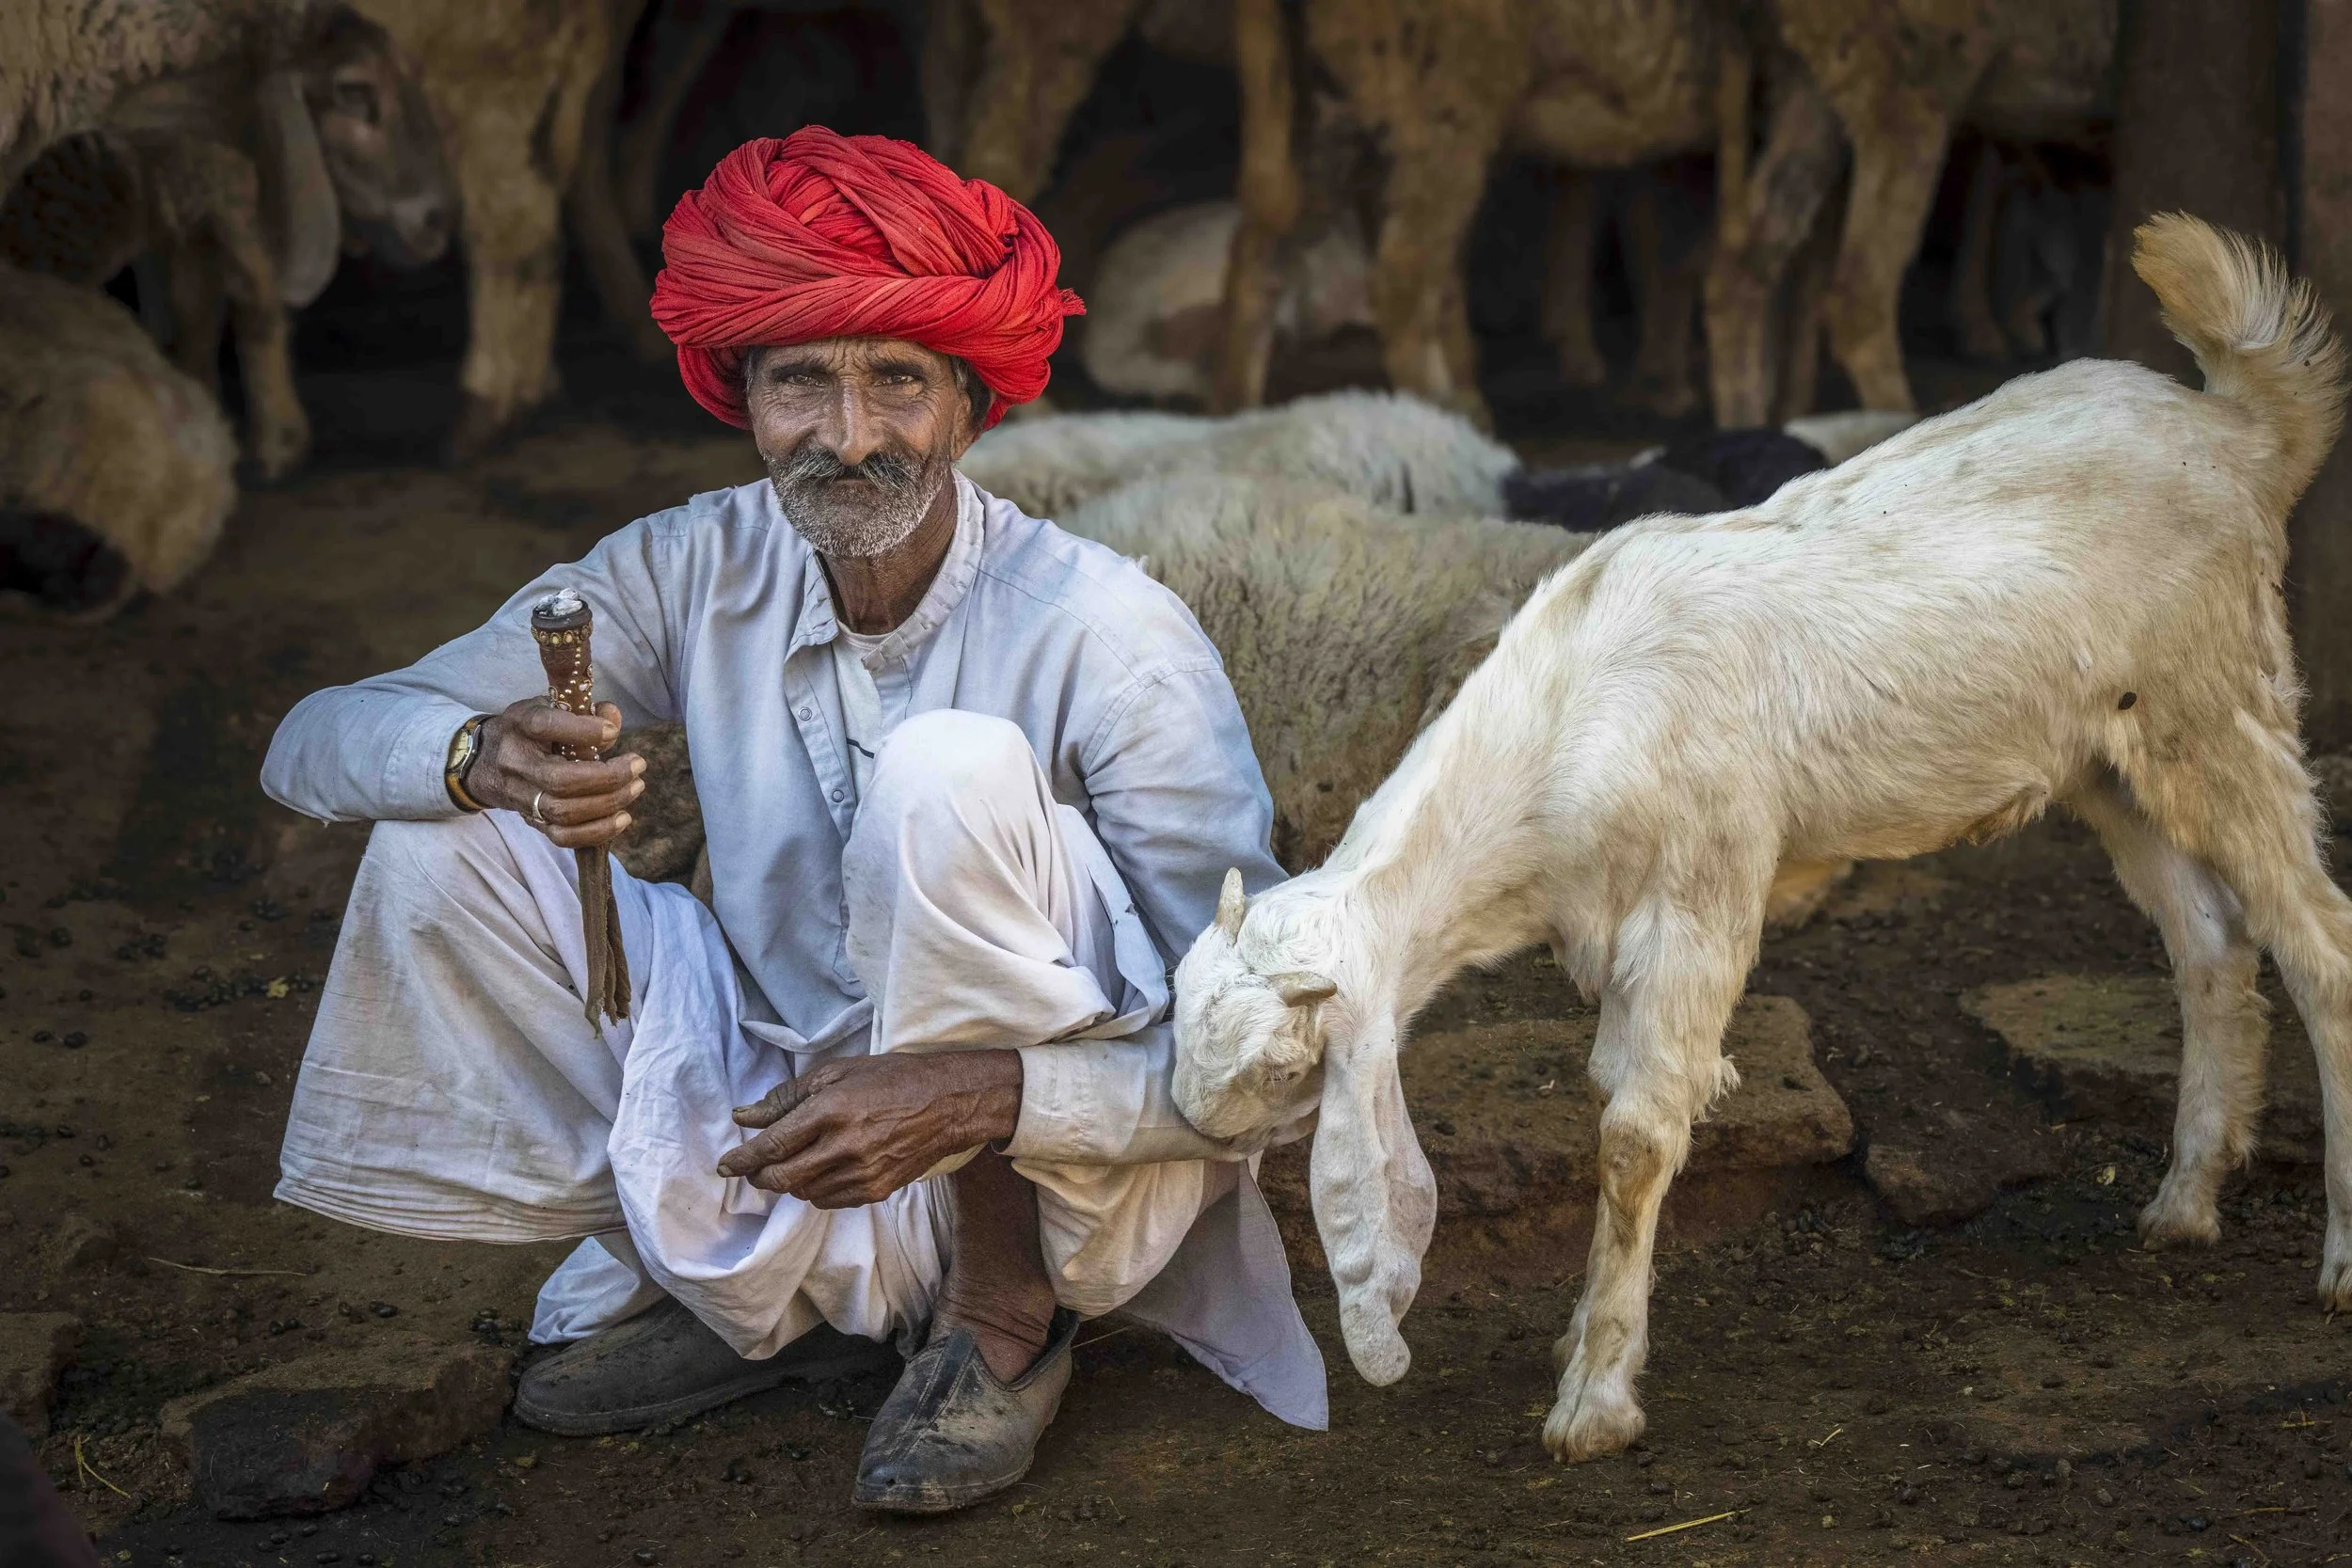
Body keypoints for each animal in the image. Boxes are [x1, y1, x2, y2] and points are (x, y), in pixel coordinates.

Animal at [1170, 215, 2352, 1460]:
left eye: (1283, 1067)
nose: (1185, 1128)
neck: (1560, 726)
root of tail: (2237, 429)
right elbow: (1609, 1091)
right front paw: (1587, 1333)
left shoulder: (1702, 891)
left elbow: (1636, 1133)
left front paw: (1593, 1400)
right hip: (2111, 758)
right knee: (2210, 944)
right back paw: (2184, 1199)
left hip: (2219, 699)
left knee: (2321, 943)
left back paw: (2336, 1259)